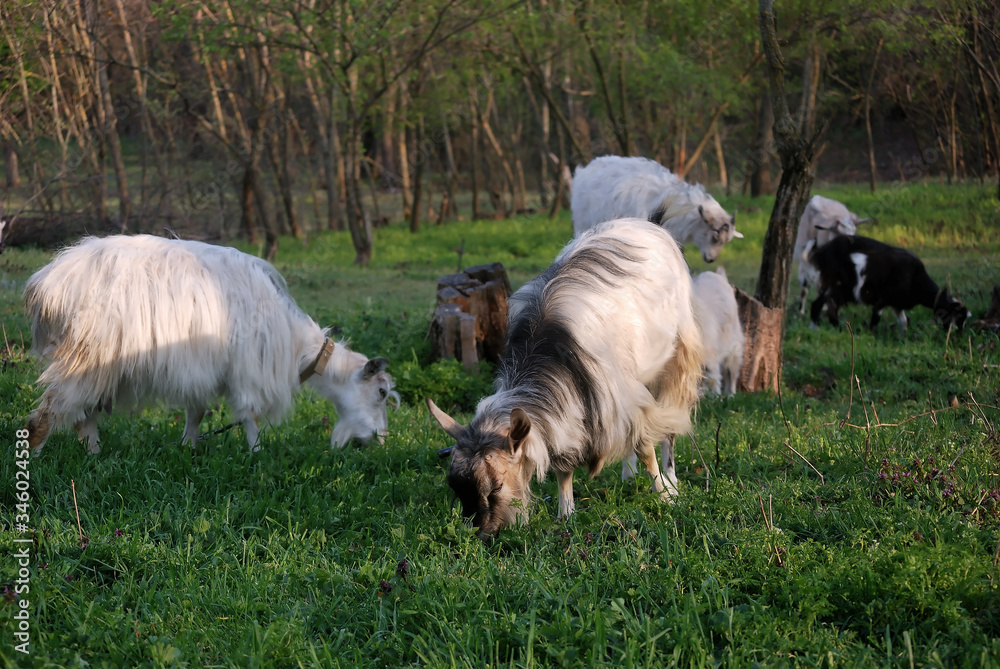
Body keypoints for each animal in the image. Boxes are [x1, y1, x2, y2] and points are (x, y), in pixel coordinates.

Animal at [24, 235, 399, 454]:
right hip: (86, 357)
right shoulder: (247, 368)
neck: (296, 346)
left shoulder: (202, 369)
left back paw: (95, 455)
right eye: (381, 392)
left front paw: (189, 447)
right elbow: (250, 415)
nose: (380, 440)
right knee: (49, 413)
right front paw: (257, 455)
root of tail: (46, 285)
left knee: (82, 416)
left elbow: (197, 411)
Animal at [427, 218, 703, 539]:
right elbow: (564, 466)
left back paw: (670, 478)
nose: (483, 534)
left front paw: (666, 496)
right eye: (456, 488)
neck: (553, 348)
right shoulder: (569, 411)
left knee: (671, 423)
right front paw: (566, 513)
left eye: (496, 486)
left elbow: (645, 446)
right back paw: (628, 474)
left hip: (677, 357)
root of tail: (647, 224)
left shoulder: (623, 398)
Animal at [806, 235, 970, 335]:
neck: (915, 277)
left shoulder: (897, 303)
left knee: (830, 307)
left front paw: (904, 339)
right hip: (834, 286)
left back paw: (837, 330)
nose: (960, 336)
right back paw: (816, 330)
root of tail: (822, 251)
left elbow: (903, 322)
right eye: (958, 317)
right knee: (818, 304)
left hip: (842, 291)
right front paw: (871, 336)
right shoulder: (882, 300)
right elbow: (875, 320)